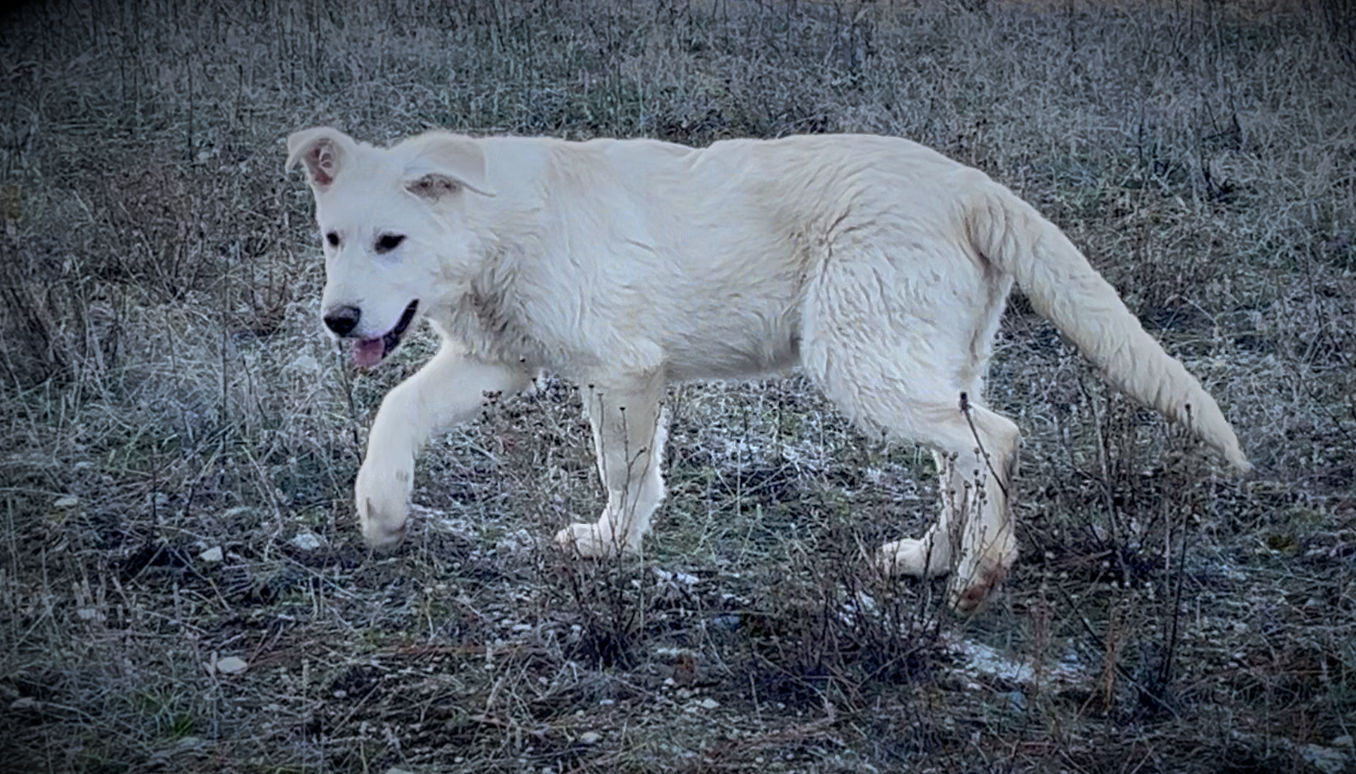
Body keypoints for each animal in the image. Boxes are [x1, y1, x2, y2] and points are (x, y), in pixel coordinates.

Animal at [286, 125, 1247, 612]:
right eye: (332, 238)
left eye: (392, 241)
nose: (338, 321)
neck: (492, 227)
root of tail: (974, 185)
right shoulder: (496, 358)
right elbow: (396, 412)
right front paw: (381, 511)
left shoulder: (624, 372)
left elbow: (626, 474)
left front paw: (612, 548)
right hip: (923, 358)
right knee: (962, 457)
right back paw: (931, 560)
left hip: (857, 358)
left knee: (996, 440)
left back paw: (981, 570)